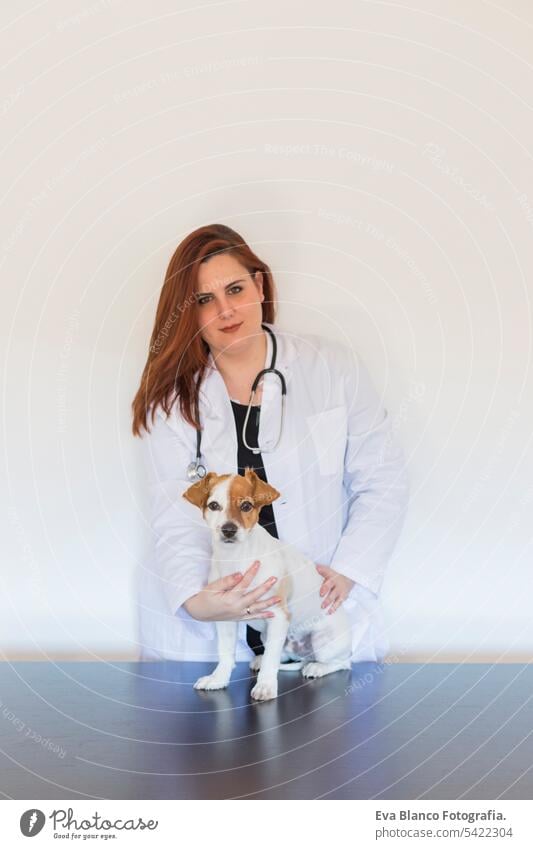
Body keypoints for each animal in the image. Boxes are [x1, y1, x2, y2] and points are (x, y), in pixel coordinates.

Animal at [183, 468, 354, 700]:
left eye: (246, 506)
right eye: (214, 505)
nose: (228, 530)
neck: (236, 558)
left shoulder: (278, 615)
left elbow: (271, 662)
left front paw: (265, 686)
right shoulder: (225, 616)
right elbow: (225, 653)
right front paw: (218, 678)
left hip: (323, 641)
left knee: (343, 663)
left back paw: (317, 667)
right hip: (269, 636)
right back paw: (260, 659)